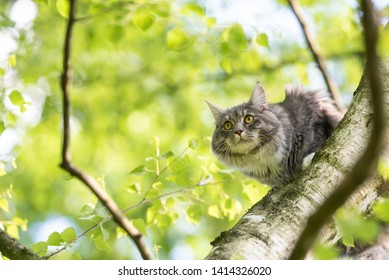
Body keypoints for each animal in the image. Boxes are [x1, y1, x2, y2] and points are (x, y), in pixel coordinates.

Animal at [206, 82, 342, 188]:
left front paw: (308, 159)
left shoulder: (314, 117)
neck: (263, 158)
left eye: (248, 119)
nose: (238, 131)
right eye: (228, 125)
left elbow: (315, 142)